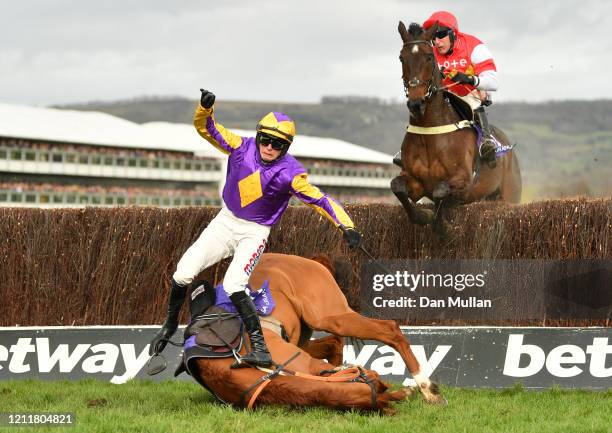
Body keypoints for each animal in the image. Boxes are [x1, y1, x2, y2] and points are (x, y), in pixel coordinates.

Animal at [177, 253, 444, 412]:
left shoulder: (307, 364)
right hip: (308, 332)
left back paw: (426, 387)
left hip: (331, 316)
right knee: (334, 344)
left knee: (389, 329)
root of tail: (305, 259)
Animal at [392, 20, 520, 236]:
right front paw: (423, 215)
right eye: (402, 57)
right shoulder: (414, 182)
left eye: (429, 56)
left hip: (509, 194)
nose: (416, 104)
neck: (430, 132)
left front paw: (443, 228)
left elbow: (440, 191)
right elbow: (397, 186)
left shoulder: (464, 182)